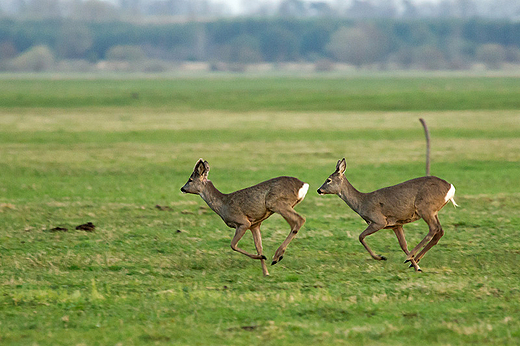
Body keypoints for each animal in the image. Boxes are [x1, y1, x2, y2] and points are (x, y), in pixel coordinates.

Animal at [314, 158, 458, 272]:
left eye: (328, 180)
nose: (319, 190)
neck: (362, 203)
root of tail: (450, 188)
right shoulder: (396, 225)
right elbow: (403, 245)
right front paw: (417, 267)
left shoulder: (379, 221)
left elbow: (360, 237)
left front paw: (381, 257)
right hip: (433, 211)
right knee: (440, 231)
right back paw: (413, 260)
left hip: (425, 208)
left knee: (433, 229)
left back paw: (410, 257)